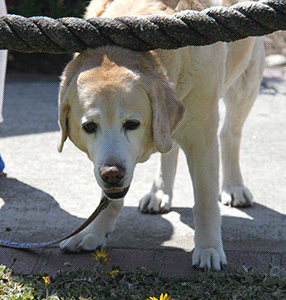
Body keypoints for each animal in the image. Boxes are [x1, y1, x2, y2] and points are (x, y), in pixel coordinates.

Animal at [58, 0, 266, 272]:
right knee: (170, 147)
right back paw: (159, 192)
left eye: (132, 124)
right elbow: (109, 200)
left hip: (244, 85)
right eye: (89, 127)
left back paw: (234, 187)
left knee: (230, 134)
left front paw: (208, 248)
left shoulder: (202, 135)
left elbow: (205, 200)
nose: (112, 174)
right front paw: (92, 233)